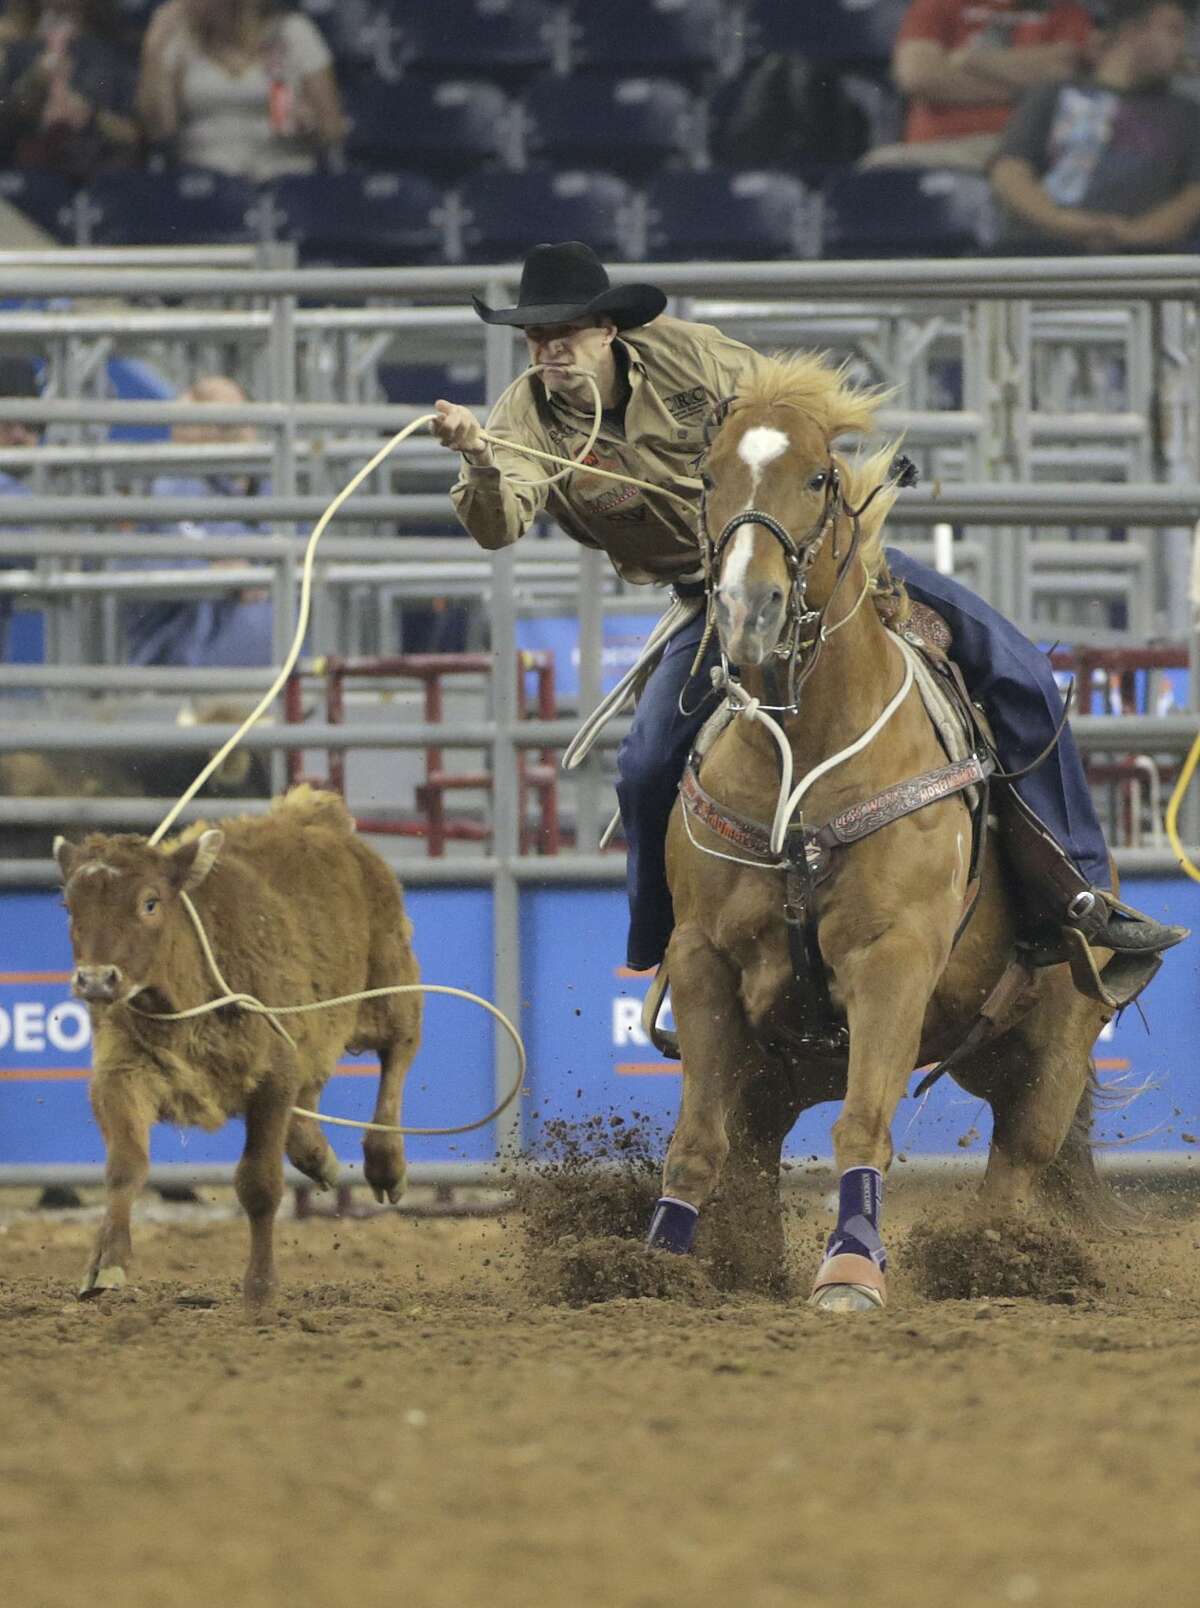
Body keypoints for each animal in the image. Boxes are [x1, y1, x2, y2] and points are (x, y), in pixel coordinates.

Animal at [56, 784, 421, 1312]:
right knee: (312, 1092)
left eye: (150, 902)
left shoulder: (271, 1076)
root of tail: (319, 818)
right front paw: (106, 1264)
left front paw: (261, 1288)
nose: (96, 980)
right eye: (70, 907)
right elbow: (125, 1166)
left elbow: (259, 1183)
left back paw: (386, 1164)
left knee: (398, 1053)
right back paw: (317, 1156)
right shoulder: (122, 1074)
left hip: (388, 986)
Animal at [649, 352, 1106, 1305]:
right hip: (779, 1067)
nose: (748, 610)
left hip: (1053, 1041)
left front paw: (852, 1270)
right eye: (705, 478)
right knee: (751, 1148)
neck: (806, 759)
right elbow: (697, 1144)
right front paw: (652, 1263)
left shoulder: (891, 959)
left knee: (1018, 1160)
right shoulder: (702, 957)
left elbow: (864, 1127)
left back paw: (988, 1261)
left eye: (819, 476)